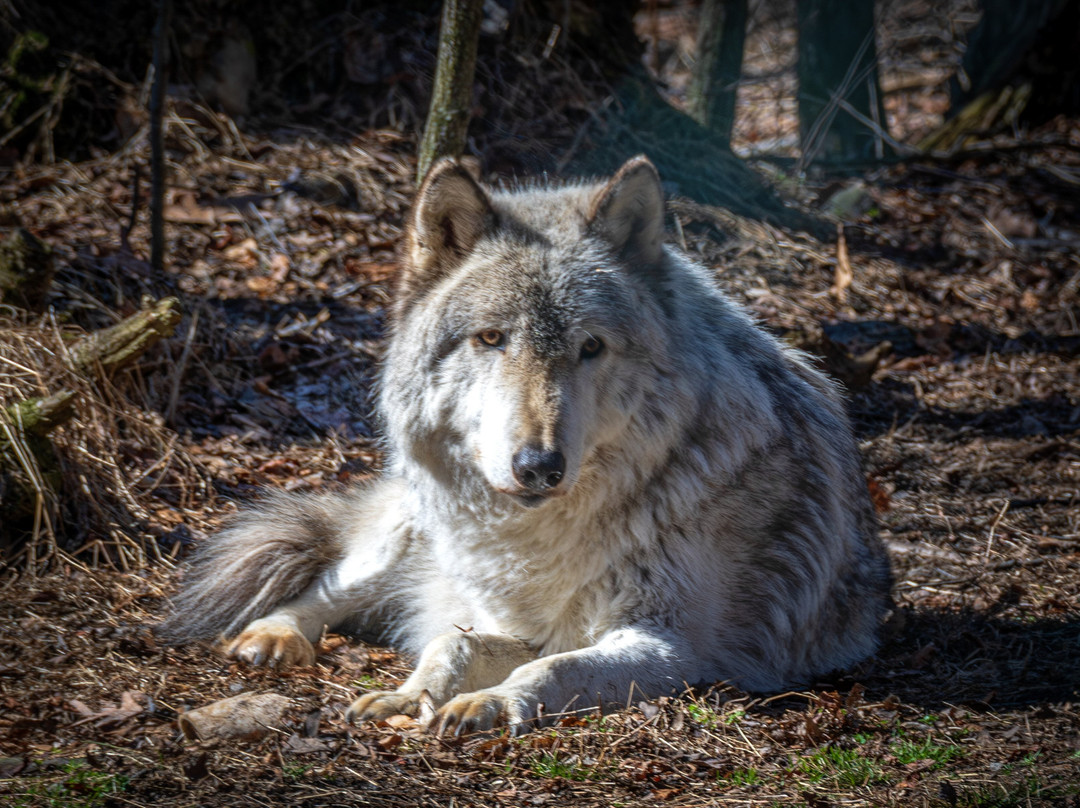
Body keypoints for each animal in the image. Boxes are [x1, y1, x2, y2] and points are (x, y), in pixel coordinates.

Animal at [160, 155, 892, 735]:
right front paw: (407, 697)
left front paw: (486, 704)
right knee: (330, 582)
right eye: (491, 338)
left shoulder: (669, 646)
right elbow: (447, 647)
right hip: (407, 530)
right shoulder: (515, 619)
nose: (539, 465)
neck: (543, 537)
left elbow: (550, 667)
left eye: (590, 347)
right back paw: (274, 635)